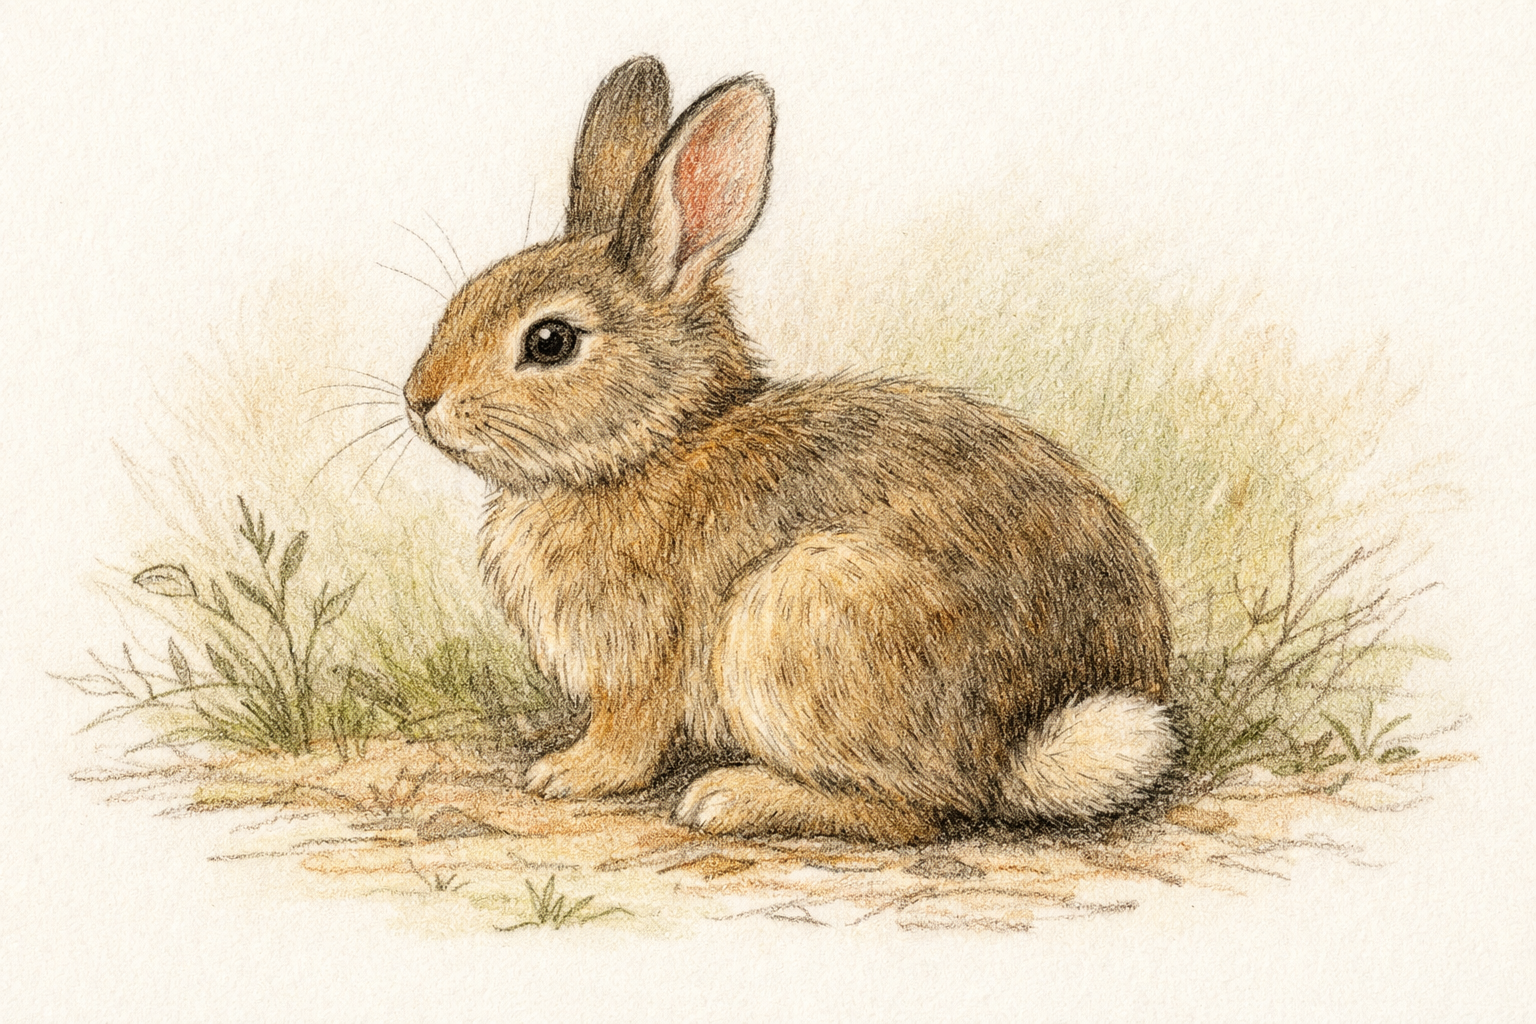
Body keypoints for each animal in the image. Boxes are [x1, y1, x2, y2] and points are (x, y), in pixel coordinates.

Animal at [403, 56, 1176, 844]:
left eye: (550, 341)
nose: (419, 399)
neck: (651, 444)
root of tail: (1029, 740)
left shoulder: (640, 660)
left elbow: (629, 737)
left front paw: (567, 773)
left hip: (799, 618)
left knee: (925, 808)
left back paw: (732, 797)